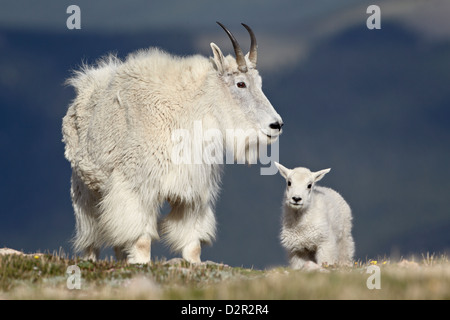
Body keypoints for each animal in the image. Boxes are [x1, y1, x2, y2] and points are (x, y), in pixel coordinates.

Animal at [62, 21, 284, 262]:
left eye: (259, 83)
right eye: (240, 84)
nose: (276, 125)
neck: (186, 112)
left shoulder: (192, 193)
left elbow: (192, 242)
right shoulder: (136, 186)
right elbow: (141, 238)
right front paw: (142, 262)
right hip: (83, 187)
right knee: (91, 231)